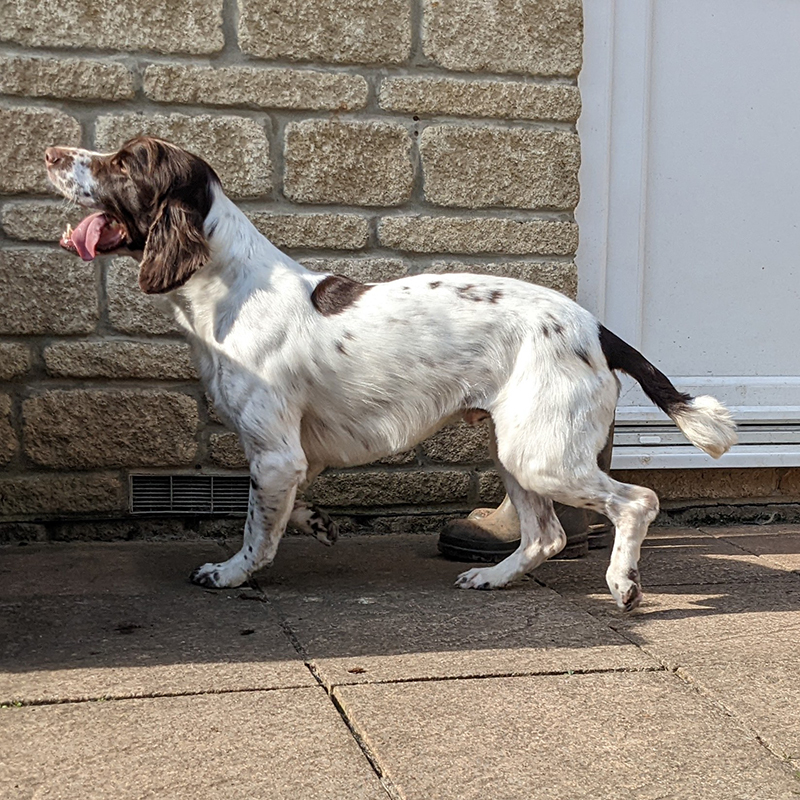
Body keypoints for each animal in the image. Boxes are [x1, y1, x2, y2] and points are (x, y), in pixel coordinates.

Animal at [43, 139, 736, 612]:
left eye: (125, 163)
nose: (50, 152)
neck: (229, 288)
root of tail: (596, 328)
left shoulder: (273, 451)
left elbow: (254, 527)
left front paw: (231, 573)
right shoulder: (297, 455)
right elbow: (282, 509)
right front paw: (317, 522)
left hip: (541, 453)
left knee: (636, 501)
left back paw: (623, 582)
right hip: (516, 448)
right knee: (546, 536)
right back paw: (492, 577)